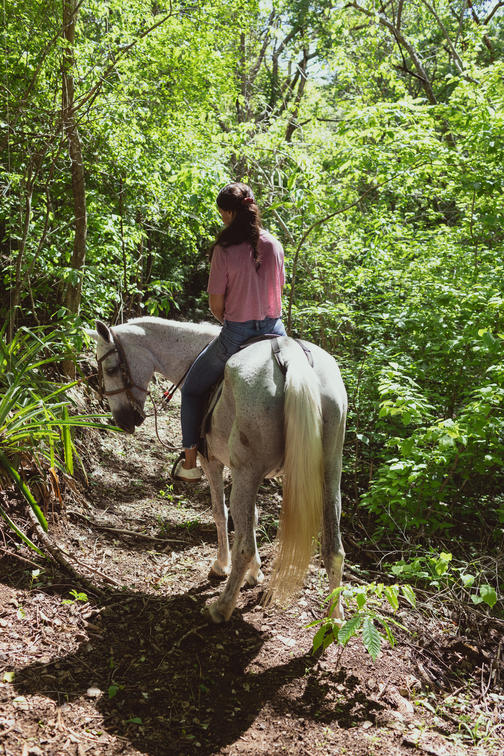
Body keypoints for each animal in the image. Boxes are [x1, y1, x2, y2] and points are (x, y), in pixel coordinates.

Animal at [86, 317, 347, 624]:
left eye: (110, 369)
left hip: (249, 471)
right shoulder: (248, 474)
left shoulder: (215, 462)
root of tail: (289, 357)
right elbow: (252, 517)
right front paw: (255, 573)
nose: (124, 421)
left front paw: (222, 565)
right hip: (329, 473)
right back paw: (336, 618)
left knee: (243, 544)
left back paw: (221, 608)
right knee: (334, 549)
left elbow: (220, 513)